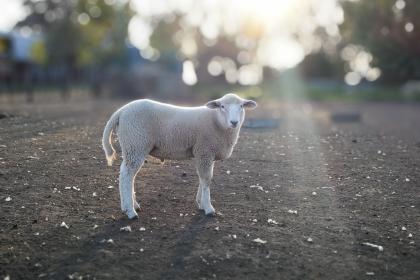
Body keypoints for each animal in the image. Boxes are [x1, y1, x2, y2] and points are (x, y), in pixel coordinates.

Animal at [103, 93, 258, 220]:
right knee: (126, 175)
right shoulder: (204, 150)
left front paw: (201, 203)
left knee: (128, 175)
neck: (217, 122)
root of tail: (121, 111)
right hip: (135, 143)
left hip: (133, 146)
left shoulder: (206, 153)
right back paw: (130, 211)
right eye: (222, 106)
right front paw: (208, 208)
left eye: (241, 106)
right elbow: (206, 179)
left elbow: (203, 178)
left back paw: (132, 205)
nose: (234, 122)